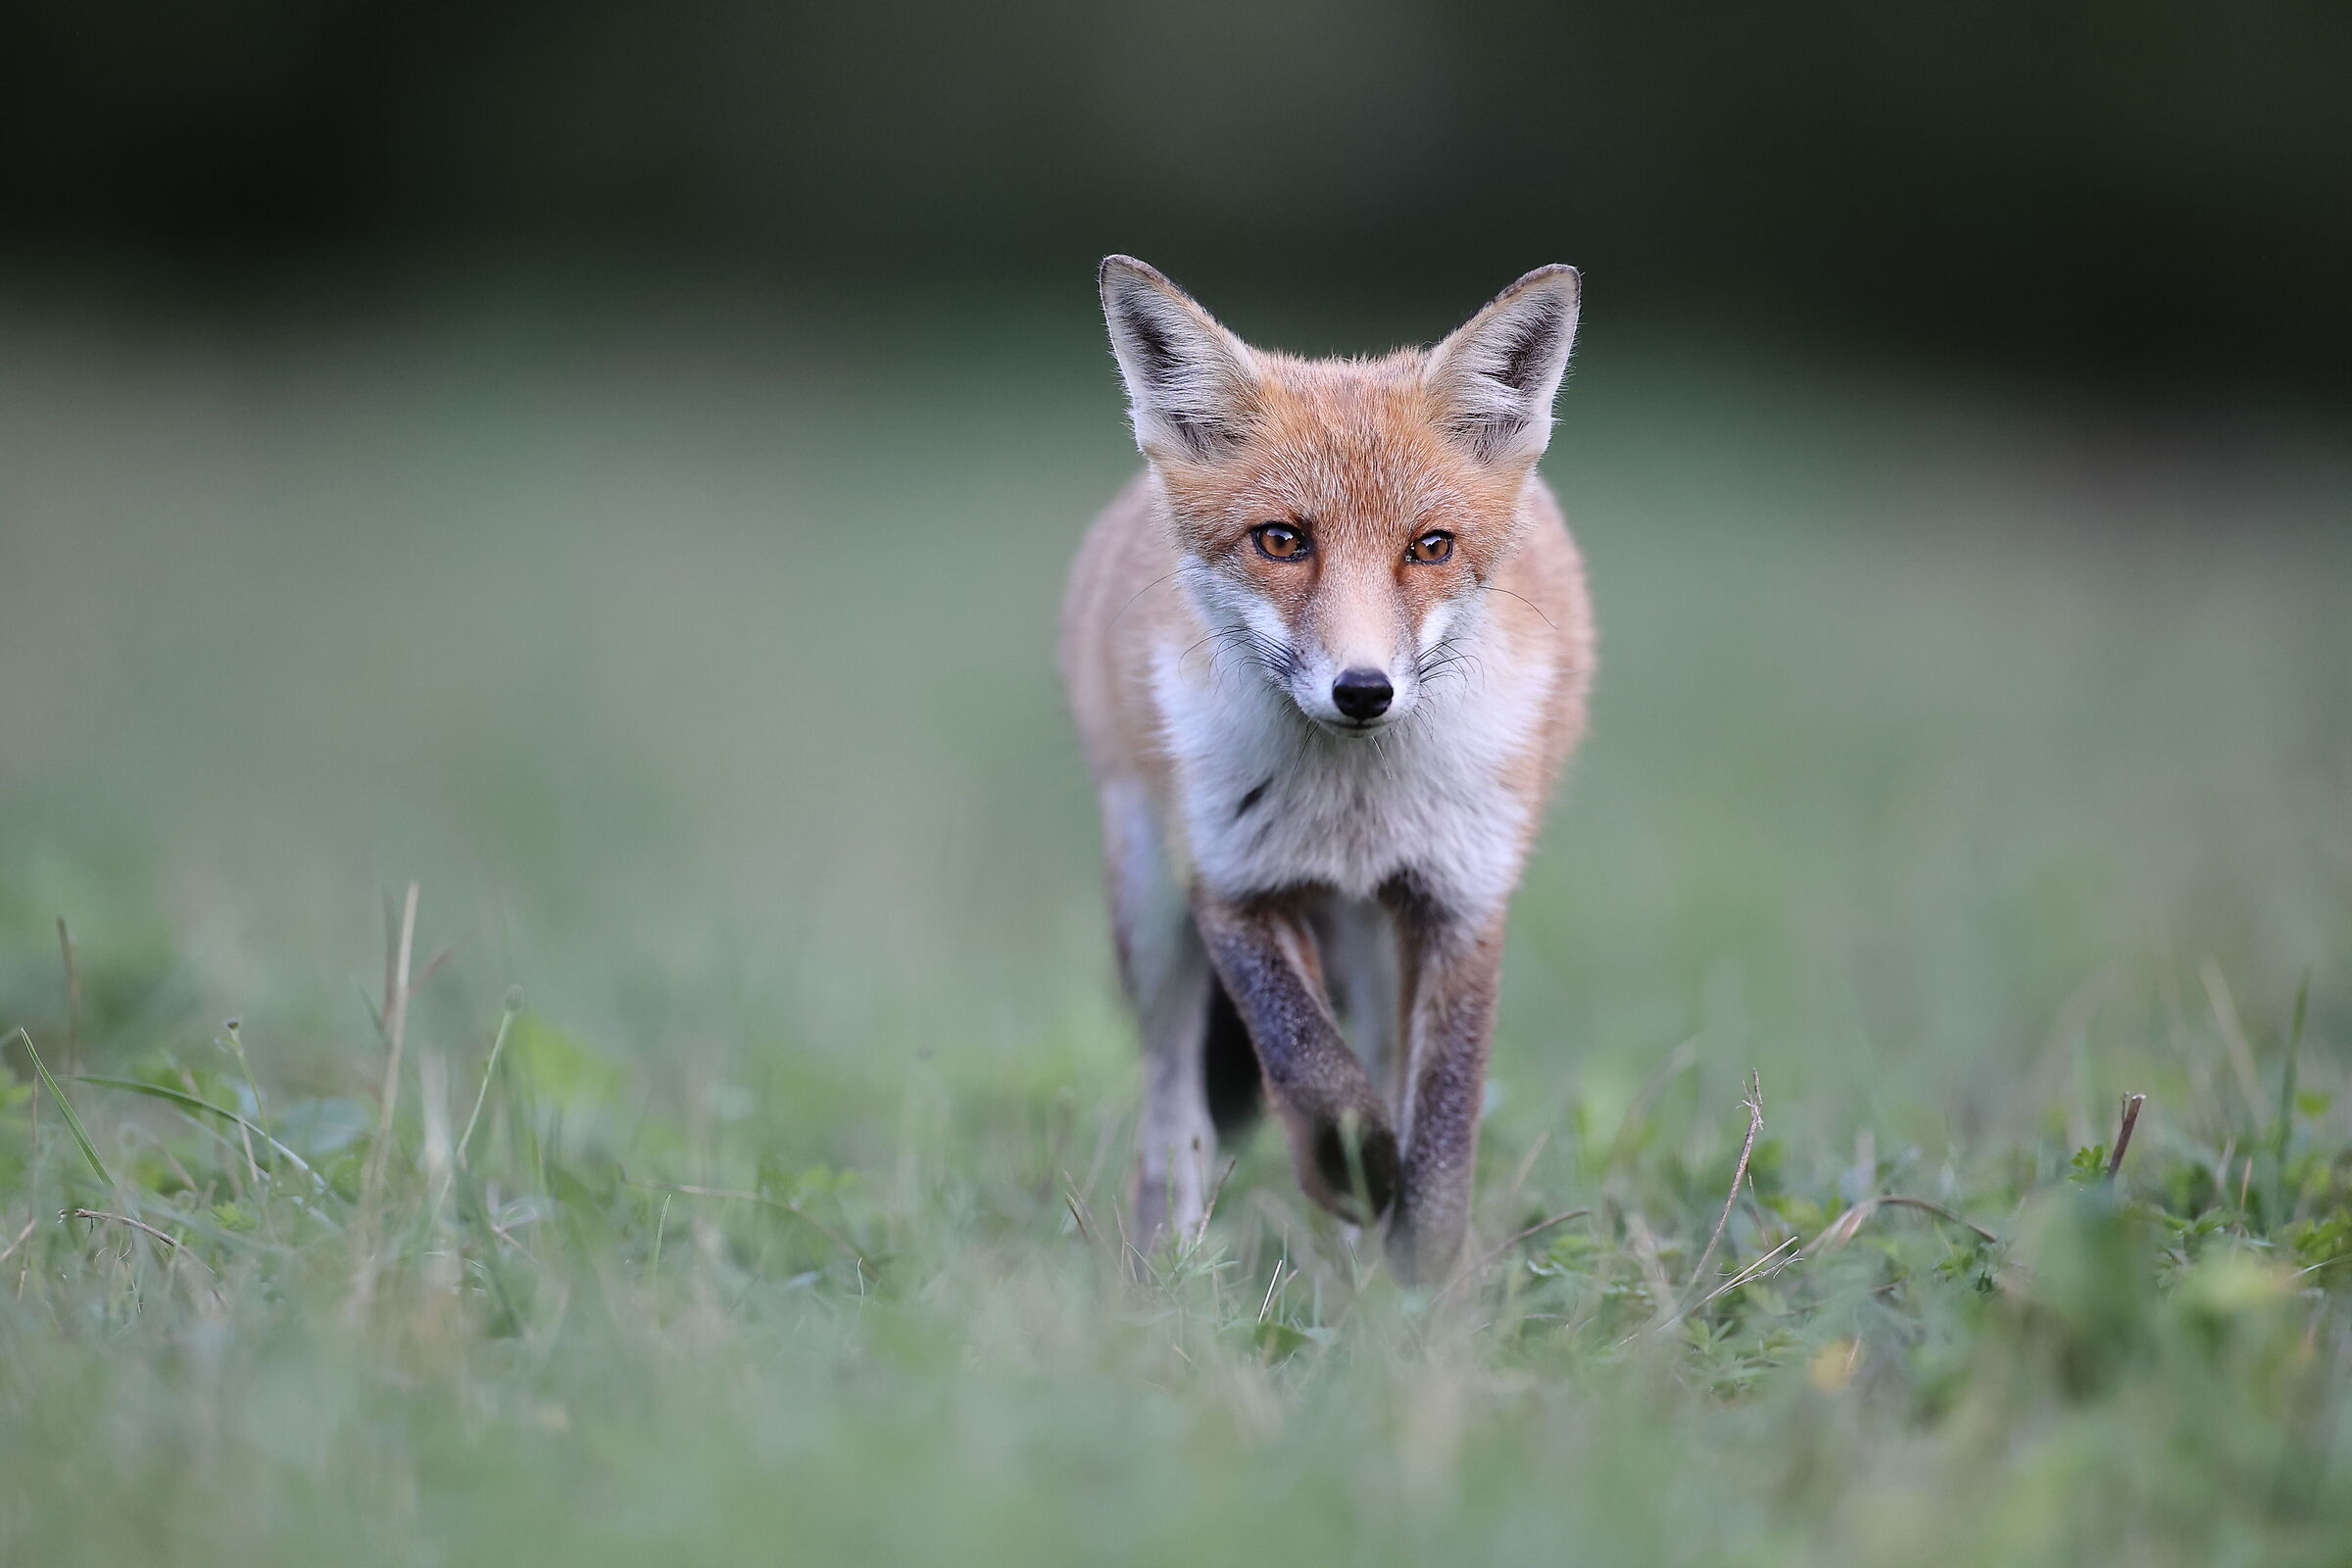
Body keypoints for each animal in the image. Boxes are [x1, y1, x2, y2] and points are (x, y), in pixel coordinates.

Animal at [1061, 256, 1595, 1284]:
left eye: (1430, 547)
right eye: (1281, 540)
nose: (1363, 690)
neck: (1355, 809)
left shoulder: (1463, 898)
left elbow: (1439, 1138)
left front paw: (1424, 1299)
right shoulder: (1229, 881)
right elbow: (1310, 1066)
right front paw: (1352, 1168)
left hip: (1377, 942)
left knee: (1374, 1059)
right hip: (1148, 910)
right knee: (1173, 1121)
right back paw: (1172, 1277)